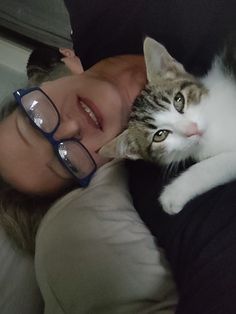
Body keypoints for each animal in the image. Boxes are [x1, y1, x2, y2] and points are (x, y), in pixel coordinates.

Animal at [99, 36, 236, 213]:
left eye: (179, 100)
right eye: (160, 135)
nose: (192, 130)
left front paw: (173, 193)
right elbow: (221, 164)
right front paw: (176, 193)